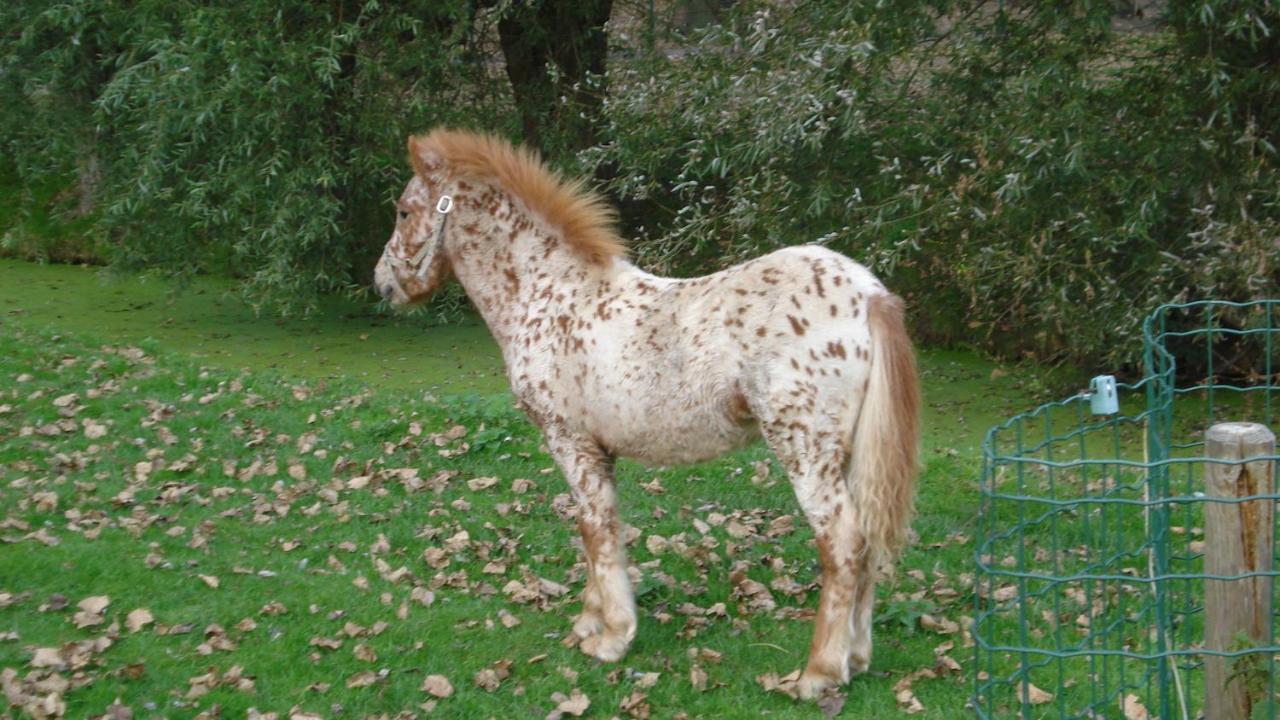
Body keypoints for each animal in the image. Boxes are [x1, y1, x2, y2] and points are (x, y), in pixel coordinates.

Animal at [373, 127, 921, 696]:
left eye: (404, 212)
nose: (382, 283)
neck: (547, 293)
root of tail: (871, 295)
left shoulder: (570, 442)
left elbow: (596, 529)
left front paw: (612, 637)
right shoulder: (598, 451)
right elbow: (597, 529)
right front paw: (589, 623)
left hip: (806, 450)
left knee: (844, 544)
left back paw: (819, 673)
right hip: (850, 455)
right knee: (869, 544)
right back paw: (856, 658)